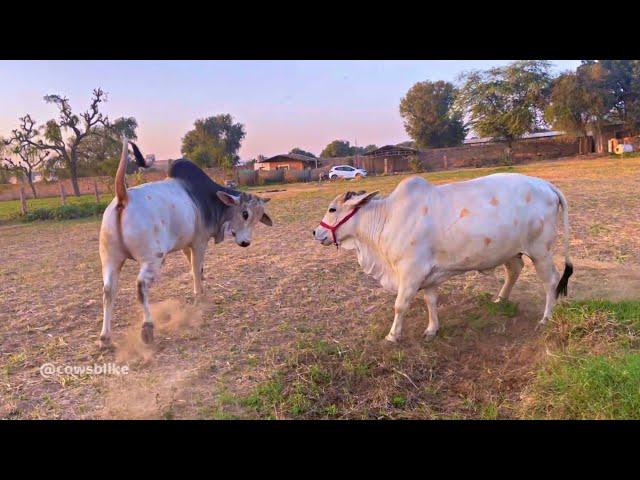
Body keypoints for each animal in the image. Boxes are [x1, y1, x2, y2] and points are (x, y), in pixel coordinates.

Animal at [312, 174, 572, 344]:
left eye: (332, 209)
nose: (316, 232)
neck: (387, 218)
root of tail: (546, 185)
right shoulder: (428, 276)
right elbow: (431, 302)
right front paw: (431, 330)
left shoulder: (411, 272)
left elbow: (400, 305)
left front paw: (393, 335)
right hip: (511, 250)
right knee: (514, 269)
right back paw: (500, 300)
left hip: (540, 251)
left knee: (550, 282)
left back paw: (545, 319)